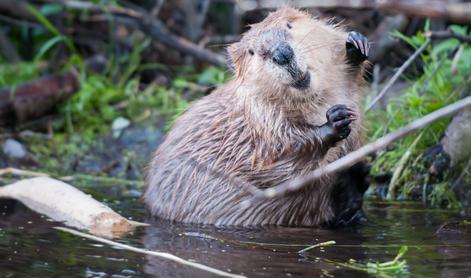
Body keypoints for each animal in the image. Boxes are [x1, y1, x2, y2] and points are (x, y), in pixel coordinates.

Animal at [142, 7, 370, 227]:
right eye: (252, 52)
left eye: (289, 25)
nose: (282, 54)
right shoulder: (260, 119)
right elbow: (280, 158)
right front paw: (335, 120)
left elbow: (349, 76)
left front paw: (356, 45)